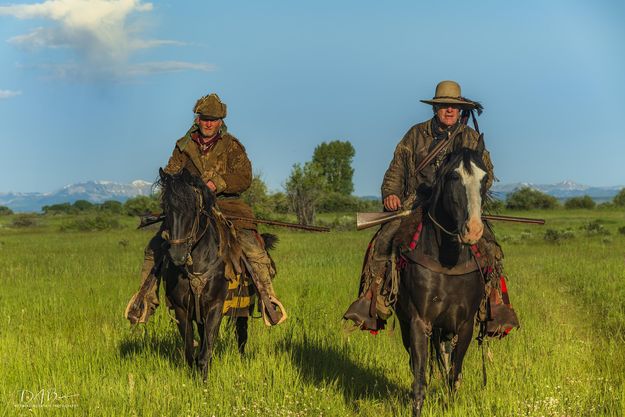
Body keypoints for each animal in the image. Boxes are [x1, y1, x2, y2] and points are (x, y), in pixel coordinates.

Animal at [156, 167, 249, 378]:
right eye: (166, 208)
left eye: (193, 208)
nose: (177, 255)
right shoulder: (182, 309)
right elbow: (191, 352)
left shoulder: (215, 306)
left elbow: (205, 352)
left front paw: (204, 382)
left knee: (241, 334)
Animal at [398, 145, 490, 414]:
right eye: (453, 176)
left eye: (485, 178)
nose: (473, 230)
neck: (448, 260)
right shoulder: (419, 322)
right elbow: (419, 378)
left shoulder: (465, 325)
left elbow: (454, 374)